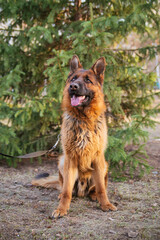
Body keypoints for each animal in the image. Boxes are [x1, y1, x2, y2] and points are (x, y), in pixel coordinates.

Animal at [32, 55, 117, 218]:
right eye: (73, 79)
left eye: (88, 80)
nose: (73, 87)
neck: (83, 119)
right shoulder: (70, 158)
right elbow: (66, 191)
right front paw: (61, 209)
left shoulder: (98, 158)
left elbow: (102, 189)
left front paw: (105, 204)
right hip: (61, 161)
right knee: (65, 187)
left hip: (104, 165)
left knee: (96, 187)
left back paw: (94, 195)